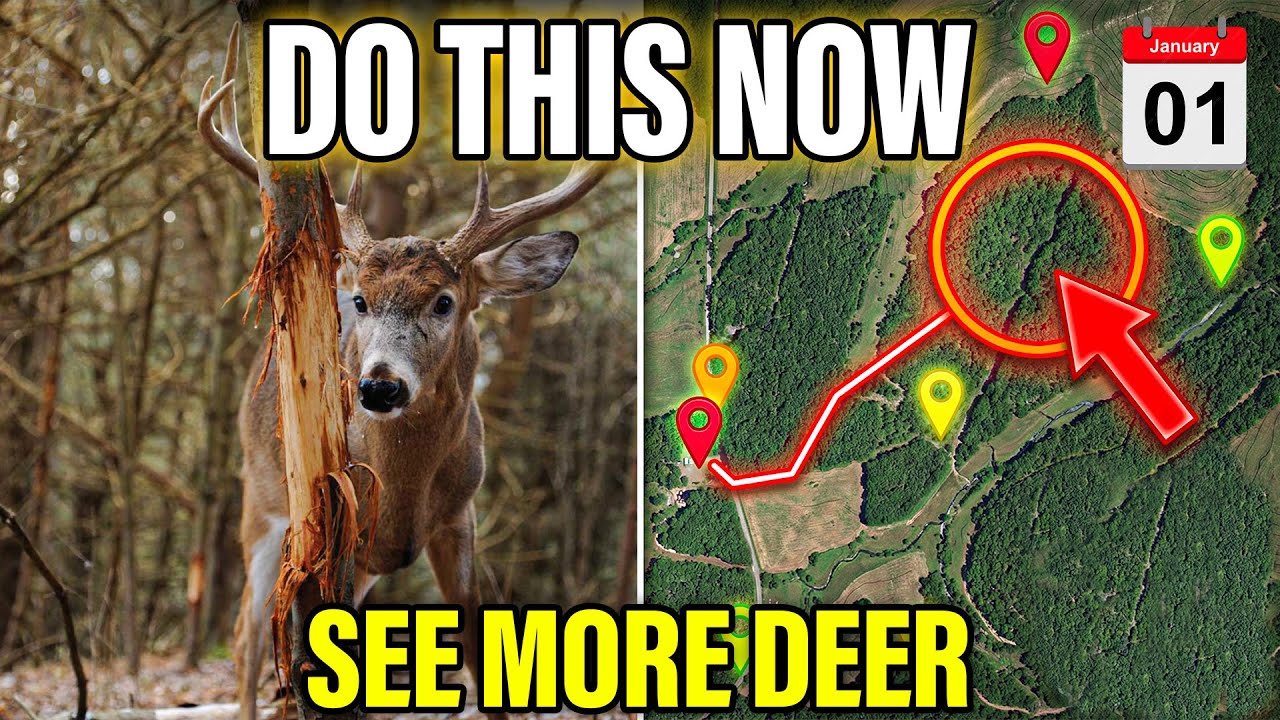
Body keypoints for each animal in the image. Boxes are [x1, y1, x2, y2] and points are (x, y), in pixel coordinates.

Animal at [196, 25, 607, 720]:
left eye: (444, 301)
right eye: (361, 301)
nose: (379, 385)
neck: (404, 492)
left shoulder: (459, 518)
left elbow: (480, 653)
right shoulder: (331, 535)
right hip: (263, 501)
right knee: (247, 635)